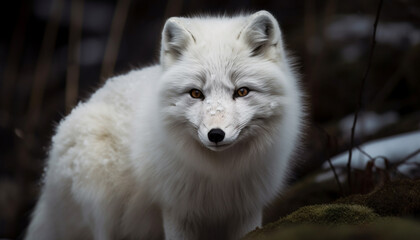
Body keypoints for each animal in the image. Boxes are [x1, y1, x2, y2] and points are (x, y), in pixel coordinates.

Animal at [24, 9, 304, 240]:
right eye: (196, 94)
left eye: (242, 91)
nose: (216, 134)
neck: (219, 175)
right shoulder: (175, 209)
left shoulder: (246, 209)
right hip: (102, 204)